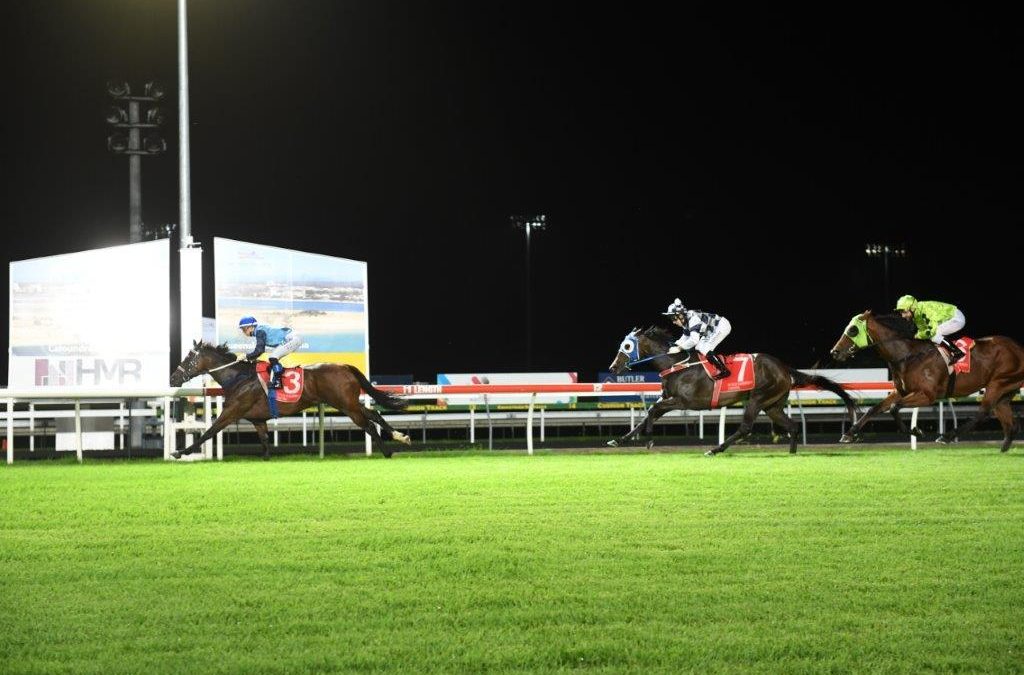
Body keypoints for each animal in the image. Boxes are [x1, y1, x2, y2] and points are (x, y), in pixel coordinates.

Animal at [168, 341, 412, 460]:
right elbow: (265, 441)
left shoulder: (232, 411)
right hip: (349, 402)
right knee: (374, 414)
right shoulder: (258, 420)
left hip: (345, 405)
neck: (239, 377)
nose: (173, 378)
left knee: (368, 424)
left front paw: (181, 452)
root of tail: (344, 366)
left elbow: (209, 432)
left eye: (188, 359)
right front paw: (266, 458)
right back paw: (401, 437)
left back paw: (387, 452)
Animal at [607, 327, 859, 454]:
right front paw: (619, 441)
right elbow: (645, 417)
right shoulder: (669, 398)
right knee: (791, 426)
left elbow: (651, 412)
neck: (677, 363)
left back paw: (715, 449)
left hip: (758, 399)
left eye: (626, 346)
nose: (613, 367)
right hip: (773, 405)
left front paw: (650, 440)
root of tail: (783, 367)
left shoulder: (683, 401)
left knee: (746, 428)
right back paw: (791, 453)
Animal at [829, 310, 1024, 451]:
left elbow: (894, 408)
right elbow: (875, 408)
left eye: (853, 330)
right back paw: (1004, 447)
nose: (834, 352)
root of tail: (1018, 348)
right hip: (1005, 390)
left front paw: (916, 430)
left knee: (983, 412)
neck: (907, 355)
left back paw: (946, 436)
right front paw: (849, 433)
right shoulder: (902, 391)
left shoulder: (927, 395)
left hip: (998, 383)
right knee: (1008, 420)